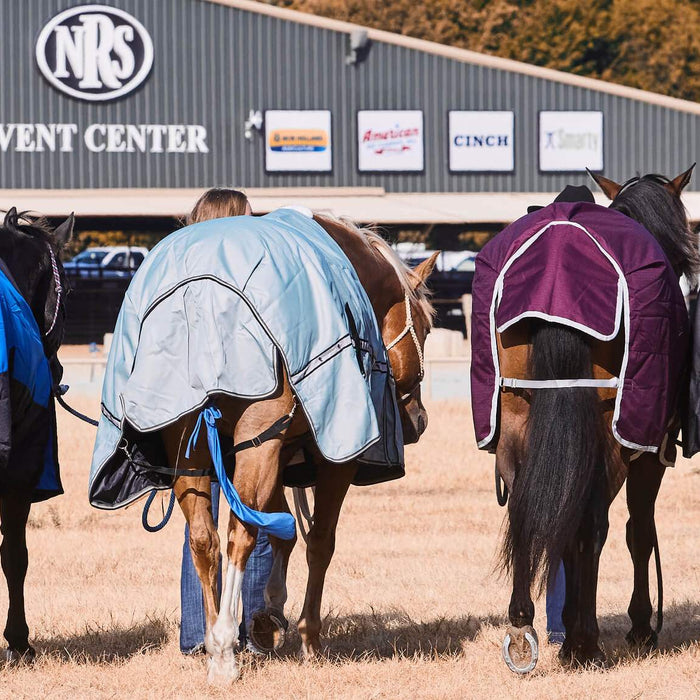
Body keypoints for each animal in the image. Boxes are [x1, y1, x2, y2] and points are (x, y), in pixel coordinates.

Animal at [160, 215, 438, 684]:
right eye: (427, 327)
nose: (419, 421)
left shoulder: (278, 451)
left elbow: (284, 530)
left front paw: (268, 614)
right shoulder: (329, 459)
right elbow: (319, 541)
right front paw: (309, 636)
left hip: (194, 449)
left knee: (204, 540)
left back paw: (217, 642)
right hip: (257, 443)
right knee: (239, 535)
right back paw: (224, 646)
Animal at [494, 165, 696, 672]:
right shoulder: (648, 457)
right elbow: (638, 532)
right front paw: (639, 625)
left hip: (517, 427)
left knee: (529, 509)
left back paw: (523, 626)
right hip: (610, 442)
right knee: (593, 525)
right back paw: (585, 641)